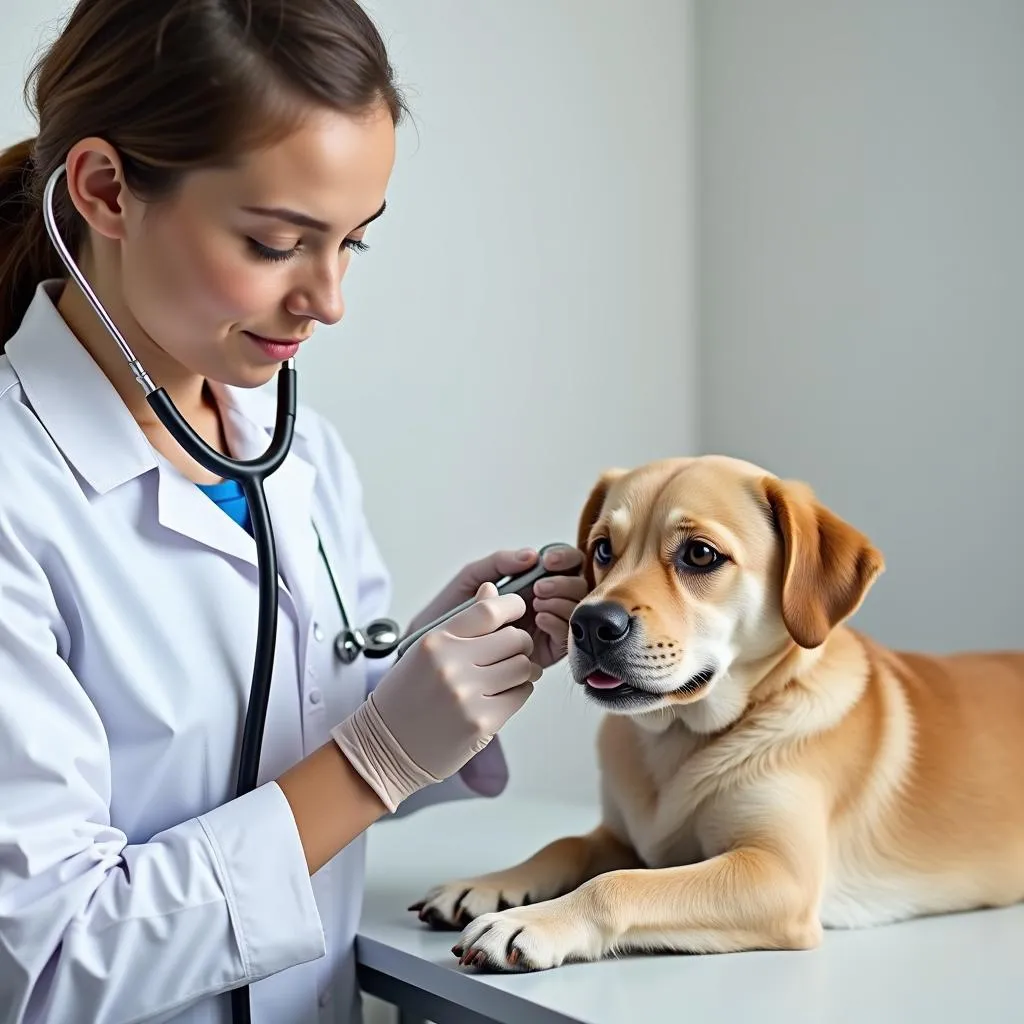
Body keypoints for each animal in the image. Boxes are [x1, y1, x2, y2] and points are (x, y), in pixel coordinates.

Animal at [407, 458, 1024, 974]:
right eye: (602, 549)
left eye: (700, 554)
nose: (588, 624)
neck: (679, 738)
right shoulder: (621, 836)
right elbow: (566, 845)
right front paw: (490, 885)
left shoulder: (778, 874)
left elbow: (619, 884)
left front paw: (529, 923)